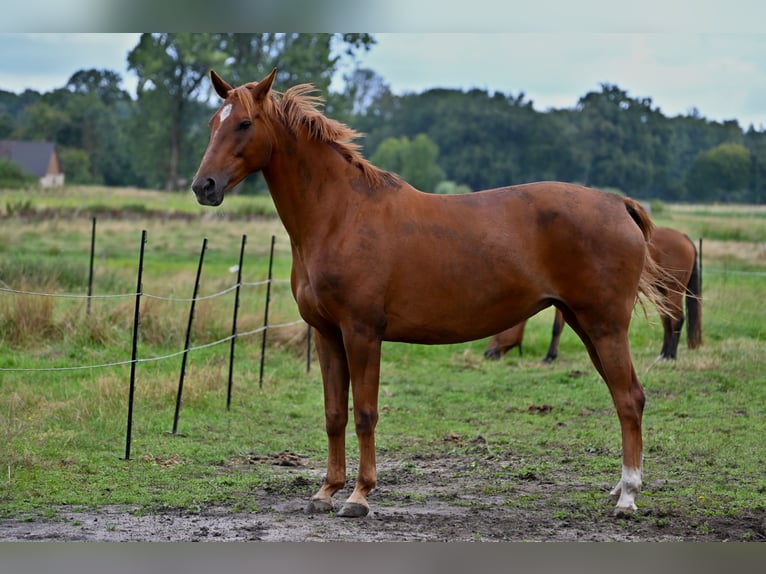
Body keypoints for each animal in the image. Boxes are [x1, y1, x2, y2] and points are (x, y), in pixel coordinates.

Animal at [195, 70, 668, 520]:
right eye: (212, 123)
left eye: (244, 123)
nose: (204, 186)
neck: (341, 215)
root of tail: (618, 203)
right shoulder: (327, 334)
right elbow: (334, 415)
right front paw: (326, 491)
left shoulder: (362, 333)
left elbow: (365, 414)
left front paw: (359, 496)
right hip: (583, 323)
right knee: (624, 395)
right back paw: (620, 489)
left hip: (605, 326)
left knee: (629, 399)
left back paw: (628, 497)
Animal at [486, 227, 704, 362]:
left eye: (498, 332)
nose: (488, 353)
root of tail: (684, 237)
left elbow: (556, 328)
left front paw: (550, 356)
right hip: (661, 291)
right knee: (667, 320)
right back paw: (663, 354)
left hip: (673, 289)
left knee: (677, 319)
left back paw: (670, 355)